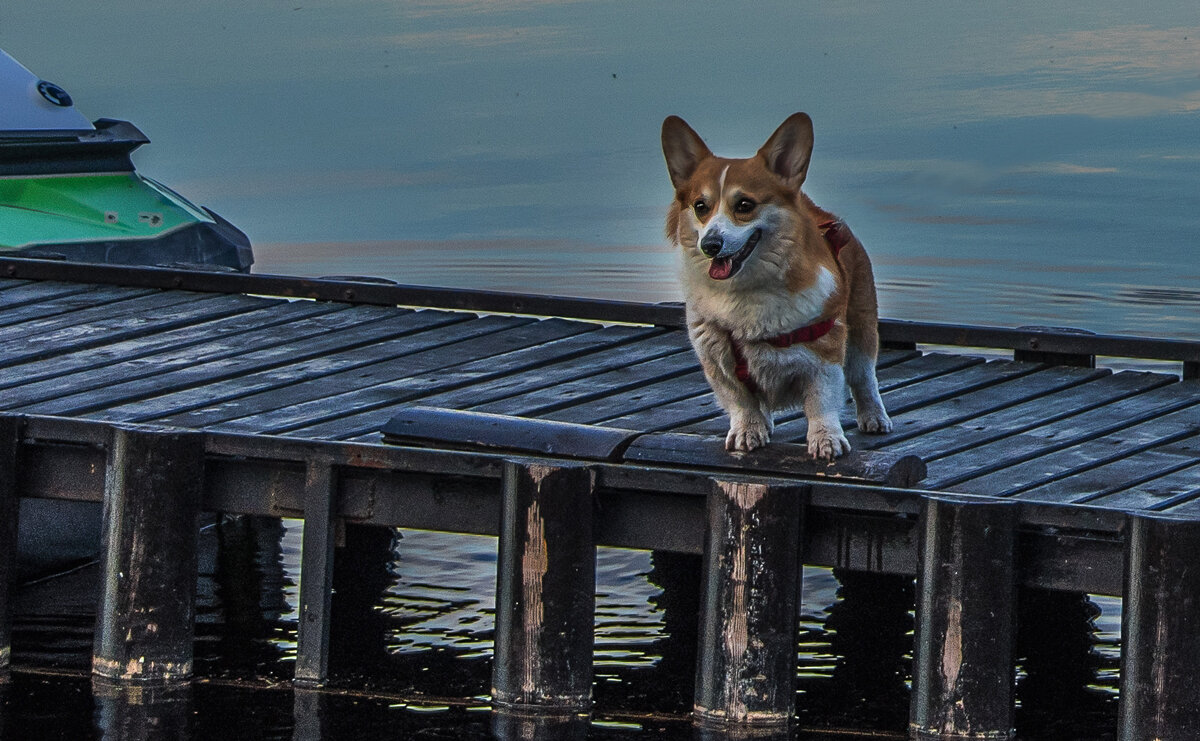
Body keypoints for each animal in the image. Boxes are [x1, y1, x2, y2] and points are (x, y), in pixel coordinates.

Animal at [662, 112, 897, 455]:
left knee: (864, 377)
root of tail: (821, 213)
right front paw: (748, 430)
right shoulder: (717, 360)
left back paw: (874, 418)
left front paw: (826, 440)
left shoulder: (824, 356)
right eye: (700, 207)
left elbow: (821, 403)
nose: (711, 245)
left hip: (862, 327)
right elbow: (741, 401)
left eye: (744, 205)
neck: (746, 291)